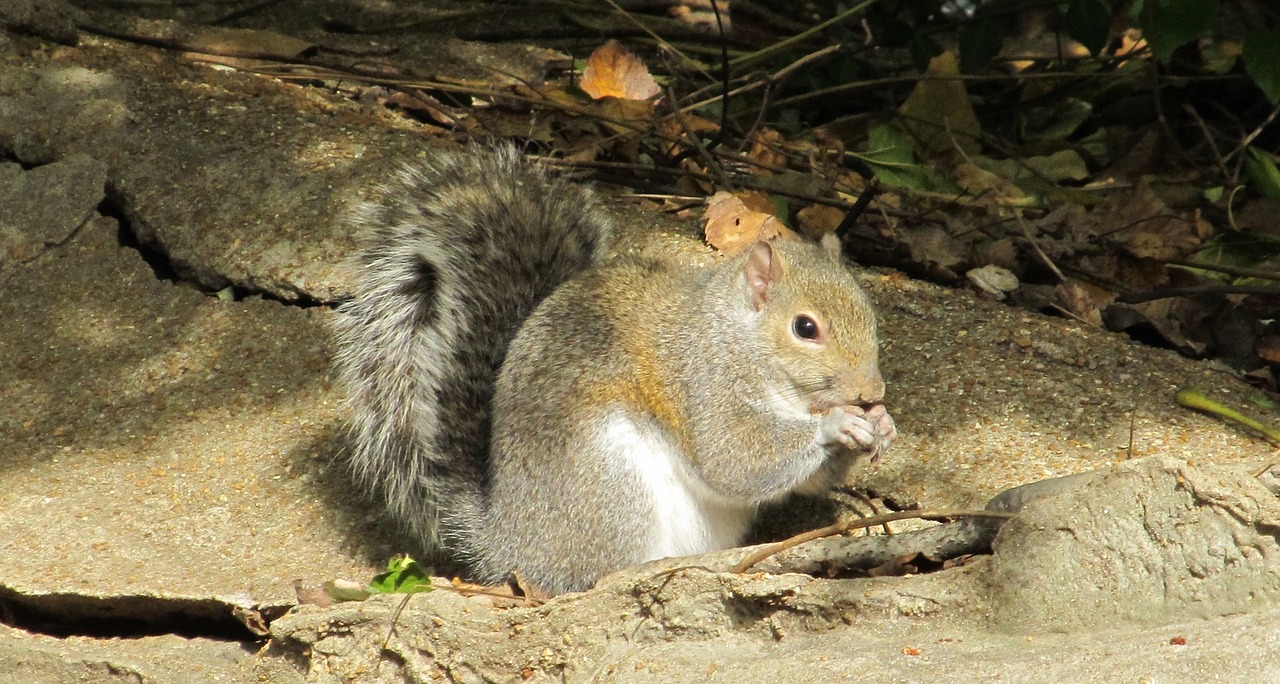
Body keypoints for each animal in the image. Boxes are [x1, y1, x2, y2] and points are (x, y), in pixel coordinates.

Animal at [330, 143, 896, 594]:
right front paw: (836, 424)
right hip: (609, 485)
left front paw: (882, 426)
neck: (737, 337)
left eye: (870, 310)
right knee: (592, 575)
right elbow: (734, 457)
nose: (871, 392)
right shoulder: (702, 380)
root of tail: (508, 544)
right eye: (805, 327)